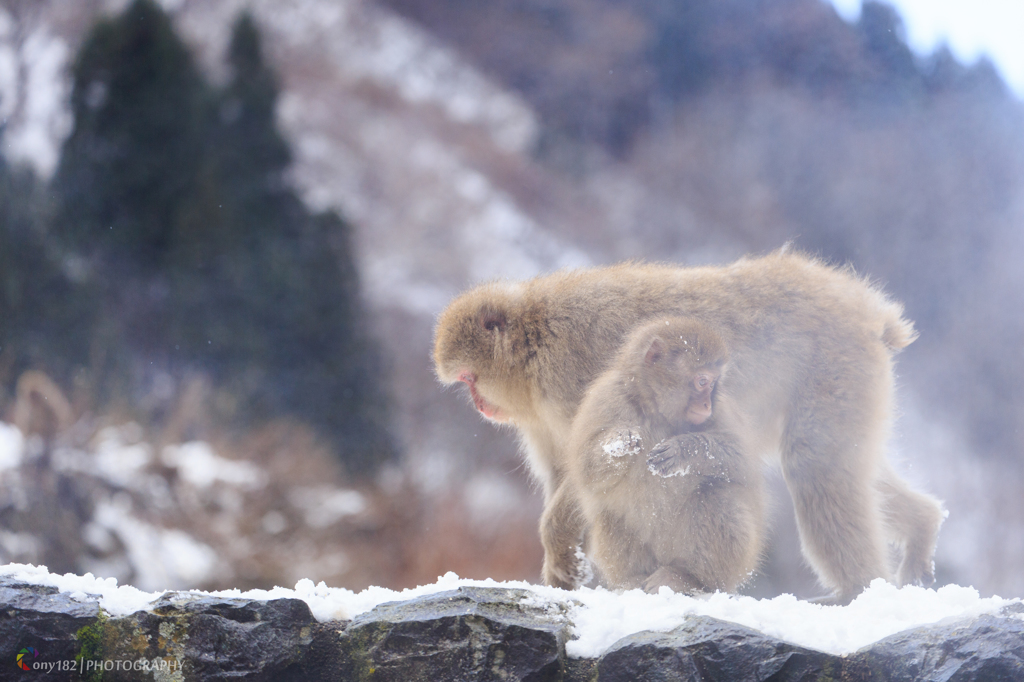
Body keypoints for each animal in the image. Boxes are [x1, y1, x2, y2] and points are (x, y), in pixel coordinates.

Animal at [552, 315, 761, 593]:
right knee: (610, 513)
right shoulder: (607, 399)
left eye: (714, 384)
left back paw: (689, 578)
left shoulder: (722, 411)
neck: (655, 410)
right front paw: (620, 442)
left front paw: (683, 450)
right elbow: (585, 470)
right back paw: (633, 580)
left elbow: (743, 461)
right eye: (702, 381)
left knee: (716, 495)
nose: (707, 404)